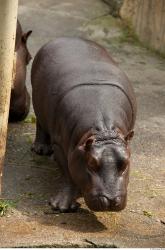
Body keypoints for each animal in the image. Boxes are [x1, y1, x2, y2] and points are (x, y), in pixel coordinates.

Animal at [31, 37, 137, 213]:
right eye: (91, 163)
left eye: (125, 162)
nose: (110, 200)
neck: (103, 132)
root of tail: (66, 37)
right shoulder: (61, 145)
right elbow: (68, 173)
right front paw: (61, 207)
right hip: (37, 104)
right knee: (40, 124)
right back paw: (42, 150)